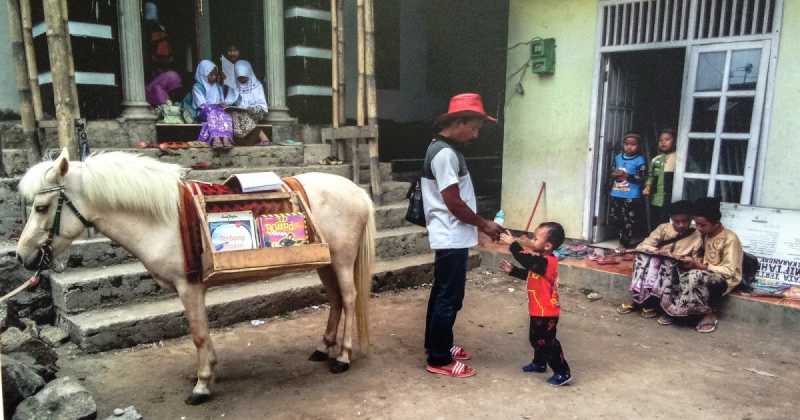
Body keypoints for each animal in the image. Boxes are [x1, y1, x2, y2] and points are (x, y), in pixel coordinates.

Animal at [14, 149, 375, 404]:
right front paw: (209, 372)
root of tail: (357, 191)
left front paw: (202, 386)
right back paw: (323, 348)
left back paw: (342, 356)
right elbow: (202, 333)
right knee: (336, 301)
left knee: (348, 298)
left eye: (42, 207)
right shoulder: (193, 289)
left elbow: (198, 334)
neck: (163, 219)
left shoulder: (188, 287)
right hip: (326, 263)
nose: (22, 256)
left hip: (343, 261)